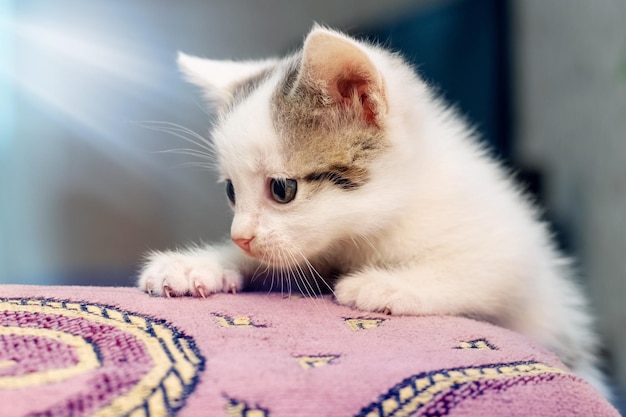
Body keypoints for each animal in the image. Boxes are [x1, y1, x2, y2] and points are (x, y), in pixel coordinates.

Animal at [139, 24, 608, 394]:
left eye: (283, 189)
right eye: (231, 192)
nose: (241, 236)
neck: (361, 232)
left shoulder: (517, 251)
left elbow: (480, 271)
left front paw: (382, 286)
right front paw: (195, 265)